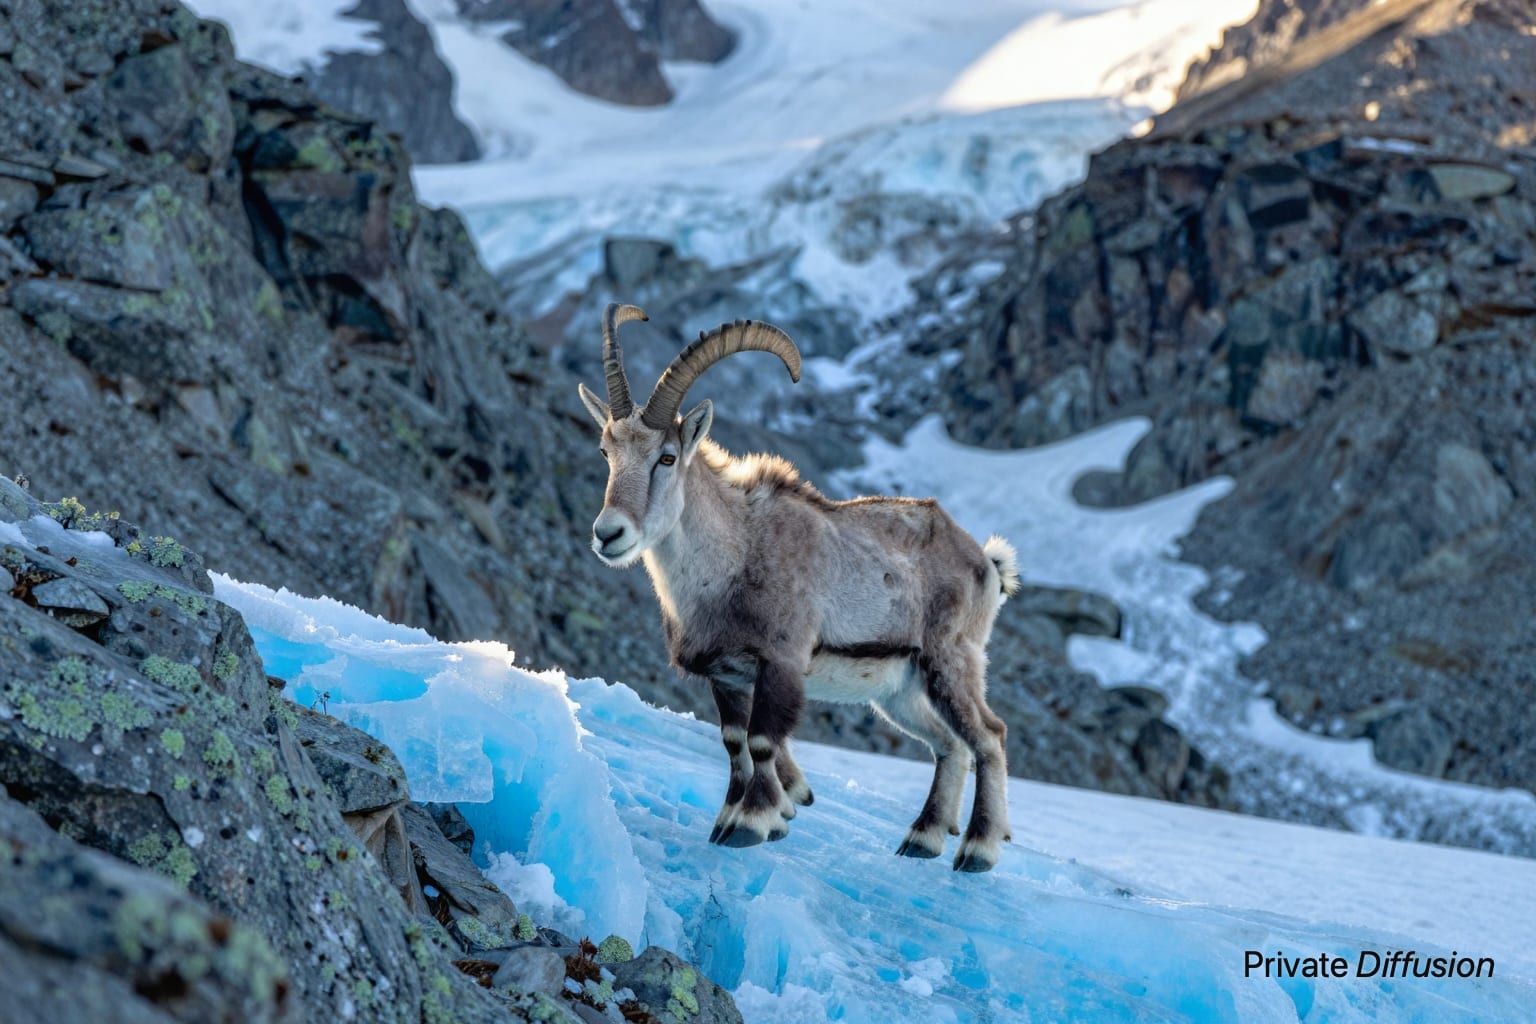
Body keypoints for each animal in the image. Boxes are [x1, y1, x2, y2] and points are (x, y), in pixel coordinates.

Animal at [577, 304, 1021, 872]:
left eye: (668, 457)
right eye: (605, 451)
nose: (609, 533)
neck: (735, 554)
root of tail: (987, 563)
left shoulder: (781, 662)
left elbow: (763, 740)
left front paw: (751, 823)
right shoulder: (729, 676)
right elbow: (734, 742)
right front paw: (728, 820)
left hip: (952, 662)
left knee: (989, 736)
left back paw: (978, 849)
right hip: (900, 691)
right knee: (950, 744)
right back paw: (922, 839)